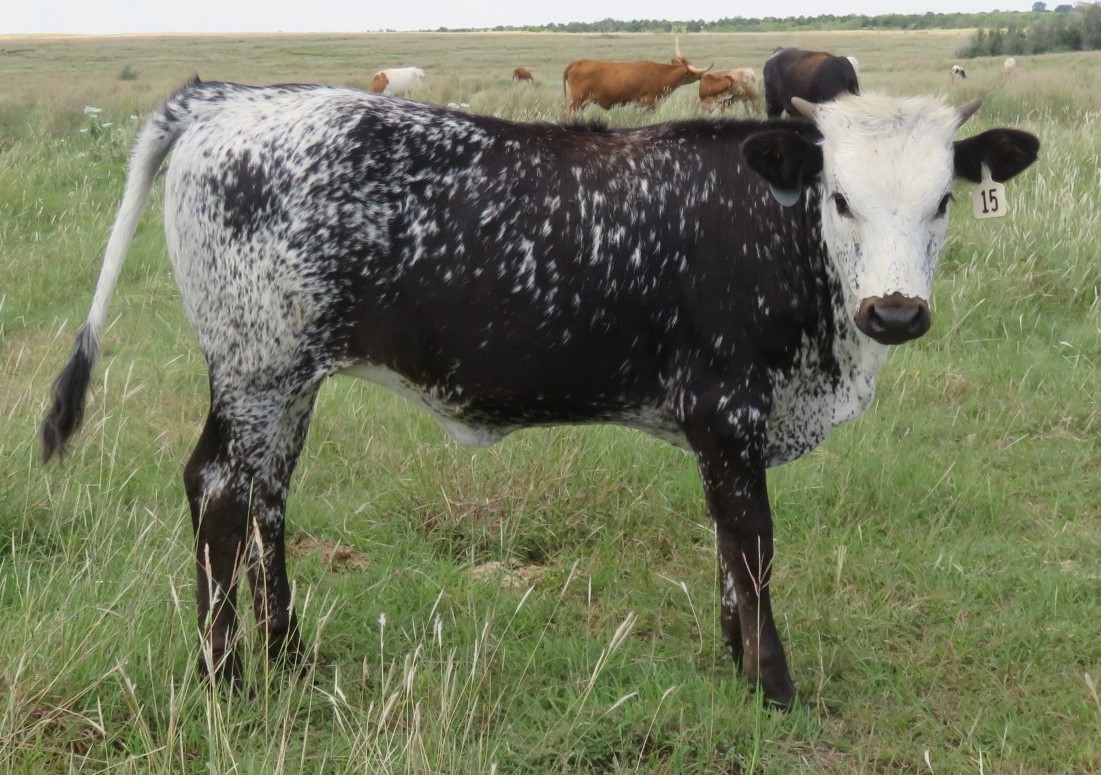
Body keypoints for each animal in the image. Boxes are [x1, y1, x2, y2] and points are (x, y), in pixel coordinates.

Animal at [41, 78, 1039, 709]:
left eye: (943, 200)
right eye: (838, 198)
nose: (895, 312)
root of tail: (231, 98)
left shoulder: (727, 425)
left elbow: (728, 547)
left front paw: (736, 660)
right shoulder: (727, 408)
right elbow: (751, 541)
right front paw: (772, 684)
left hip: (285, 378)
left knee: (266, 496)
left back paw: (288, 656)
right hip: (255, 365)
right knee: (217, 489)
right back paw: (227, 680)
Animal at [562, 36, 711, 115]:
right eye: (693, 73)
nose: (703, 75)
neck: (661, 74)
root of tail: (579, 62)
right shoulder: (649, 103)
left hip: (582, 103)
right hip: (577, 100)